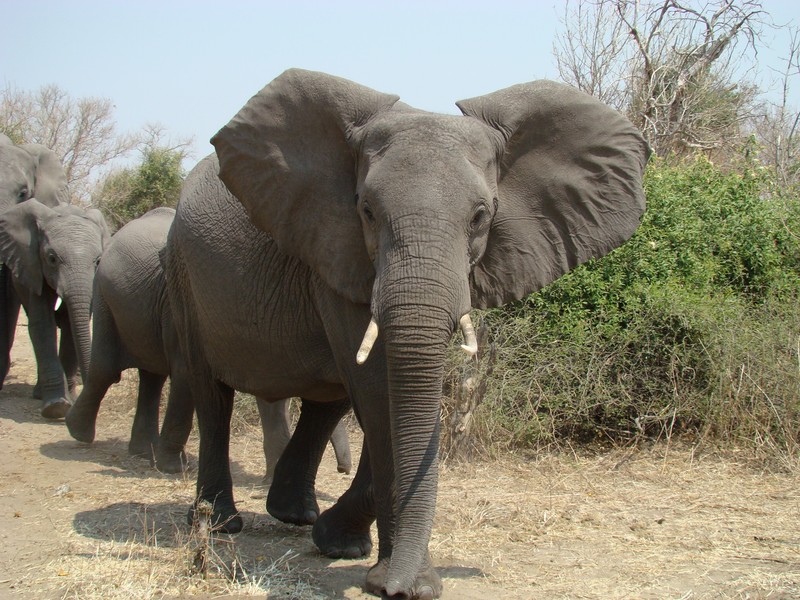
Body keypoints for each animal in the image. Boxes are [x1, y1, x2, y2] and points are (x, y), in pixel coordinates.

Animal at [62, 209, 350, 480]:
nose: (342, 469)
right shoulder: (185, 309)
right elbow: (186, 373)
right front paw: (173, 468)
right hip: (103, 295)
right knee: (106, 369)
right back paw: (78, 432)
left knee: (151, 378)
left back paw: (143, 453)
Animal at [166, 68, 648, 596]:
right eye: (366, 211)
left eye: (481, 216)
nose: (396, 586)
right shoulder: (336, 250)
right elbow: (381, 397)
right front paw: (399, 581)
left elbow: (388, 398)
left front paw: (354, 552)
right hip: (183, 272)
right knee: (212, 394)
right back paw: (220, 523)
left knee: (328, 399)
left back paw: (297, 517)